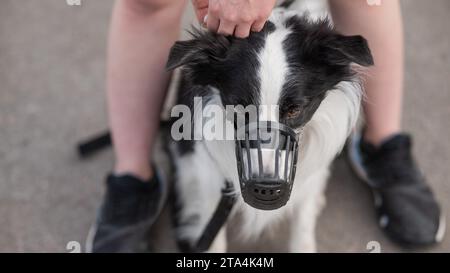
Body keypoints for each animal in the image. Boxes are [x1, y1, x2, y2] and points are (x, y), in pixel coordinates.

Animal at [165, 7, 372, 252]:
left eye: (294, 110)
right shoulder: (210, 178)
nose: (265, 187)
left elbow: (303, 225)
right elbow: (213, 238)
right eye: (238, 107)